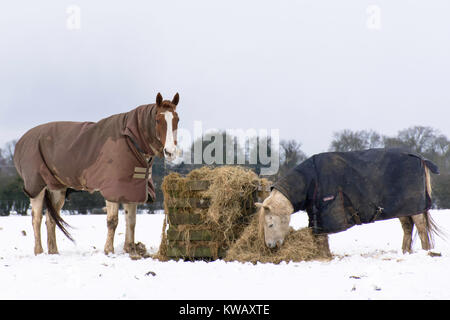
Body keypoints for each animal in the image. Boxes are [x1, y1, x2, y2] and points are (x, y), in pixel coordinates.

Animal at [14, 92, 180, 255]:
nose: (170, 152)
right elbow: (113, 221)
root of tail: (22, 141)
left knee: (51, 219)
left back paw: (54, 252)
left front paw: (130, 249)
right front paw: (109, 251)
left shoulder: (132, 189)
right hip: (37, 187)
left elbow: (131, 221)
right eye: (158, 120)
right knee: (36, 219)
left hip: (57, 189)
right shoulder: (113, 190)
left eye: (177, 119)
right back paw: (39, 251)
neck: (130, 139)